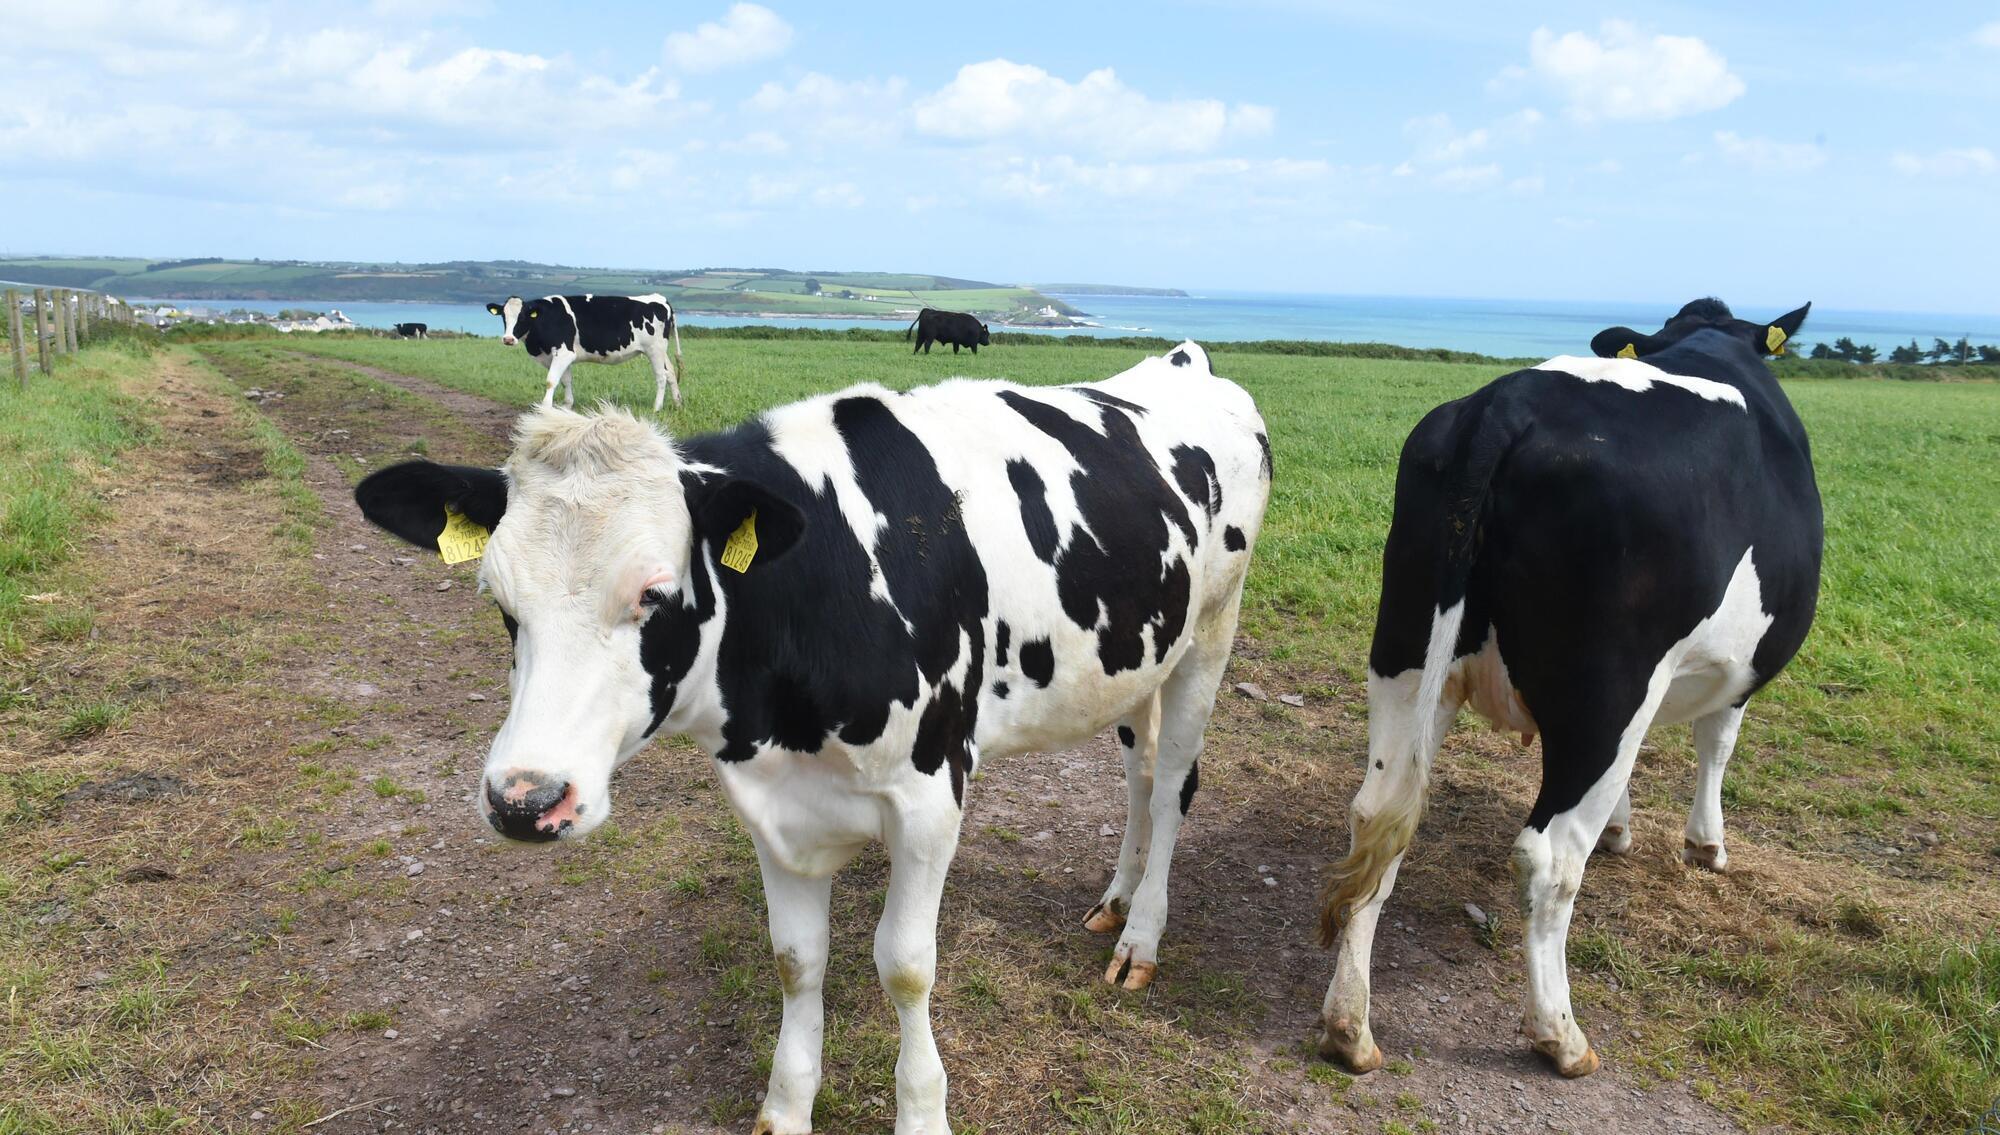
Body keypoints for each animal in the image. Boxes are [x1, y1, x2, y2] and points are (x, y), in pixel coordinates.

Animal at [353, 341, 1266, 1135]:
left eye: (655, 593)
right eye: (501, 600)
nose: (524, 799)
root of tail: (1183, 360)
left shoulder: (931, 793)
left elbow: (905, 963)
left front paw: (921, 1112)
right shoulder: (770, 799)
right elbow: (797, 956)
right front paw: (787, 1106)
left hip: (1211, 630)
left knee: (1174, 782)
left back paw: (1142, 934)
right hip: (1136, 657)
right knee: (1137, 774)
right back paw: (1114, 900)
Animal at [487, 293, 686, 412]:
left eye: (522, 317)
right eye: (504, 317)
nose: (508, 339)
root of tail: (660, 298)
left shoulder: (564, 353)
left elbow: (551, 381)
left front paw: (545, 409)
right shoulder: (561, 356)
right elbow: (566, 381)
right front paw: (567, 406)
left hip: (654, 349)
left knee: (661, 376)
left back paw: (657, 407)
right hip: (661, 351)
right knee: (670, 373)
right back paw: (677, 403)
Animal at [1314, 299, 1821, 1080]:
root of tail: (1508, 402)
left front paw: (1623, 827)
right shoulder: (1730, 677)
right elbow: (1718, 743)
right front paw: (1706, 845)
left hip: (1406, 652)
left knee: (1378, 816)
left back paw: (1349, 1025)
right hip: (1606, 695)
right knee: (1549, 859)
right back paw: (1560, 1034)